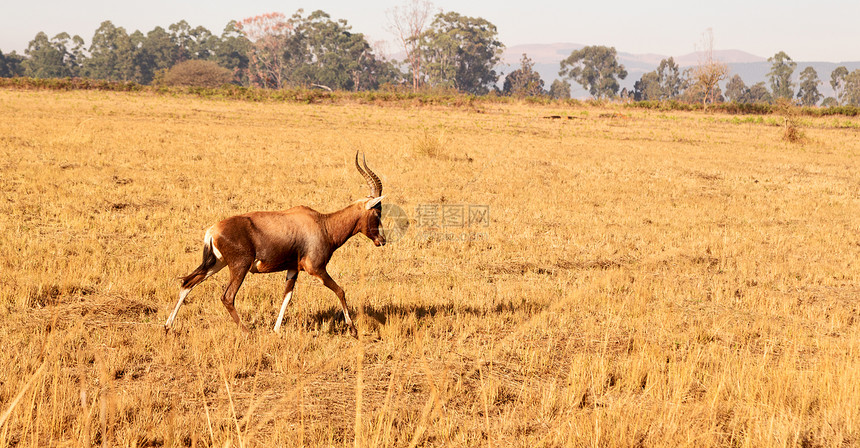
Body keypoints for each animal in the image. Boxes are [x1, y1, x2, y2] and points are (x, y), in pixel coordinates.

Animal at [165, 152, 386, 338]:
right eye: (377, 212)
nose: (382, 240)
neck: (322, 224)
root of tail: (213, 230)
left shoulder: (292, 269)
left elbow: (286, 297)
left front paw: (276, 330)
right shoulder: (316, 269)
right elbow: (340, 290)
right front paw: (353, 329)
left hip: (215, 264)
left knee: (188, 283)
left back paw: (168, 326)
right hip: (239, 267)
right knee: (227, 297)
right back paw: (247, 331)